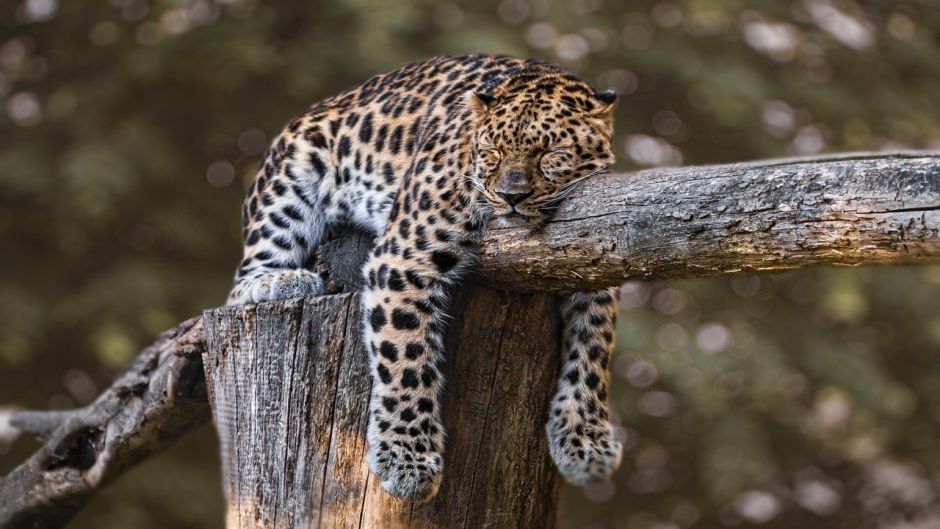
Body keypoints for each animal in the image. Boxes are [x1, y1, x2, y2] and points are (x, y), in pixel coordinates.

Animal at [226, 54, 622, 502]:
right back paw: (281, 281)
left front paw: (585, 443)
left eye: (552, 153)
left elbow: (593, 353)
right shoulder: (403, 259)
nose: (510, 197)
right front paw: (407, 460)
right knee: (242, 280)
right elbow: (405, 358)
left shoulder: (595, 264)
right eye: (493, 151)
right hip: (289, 183)